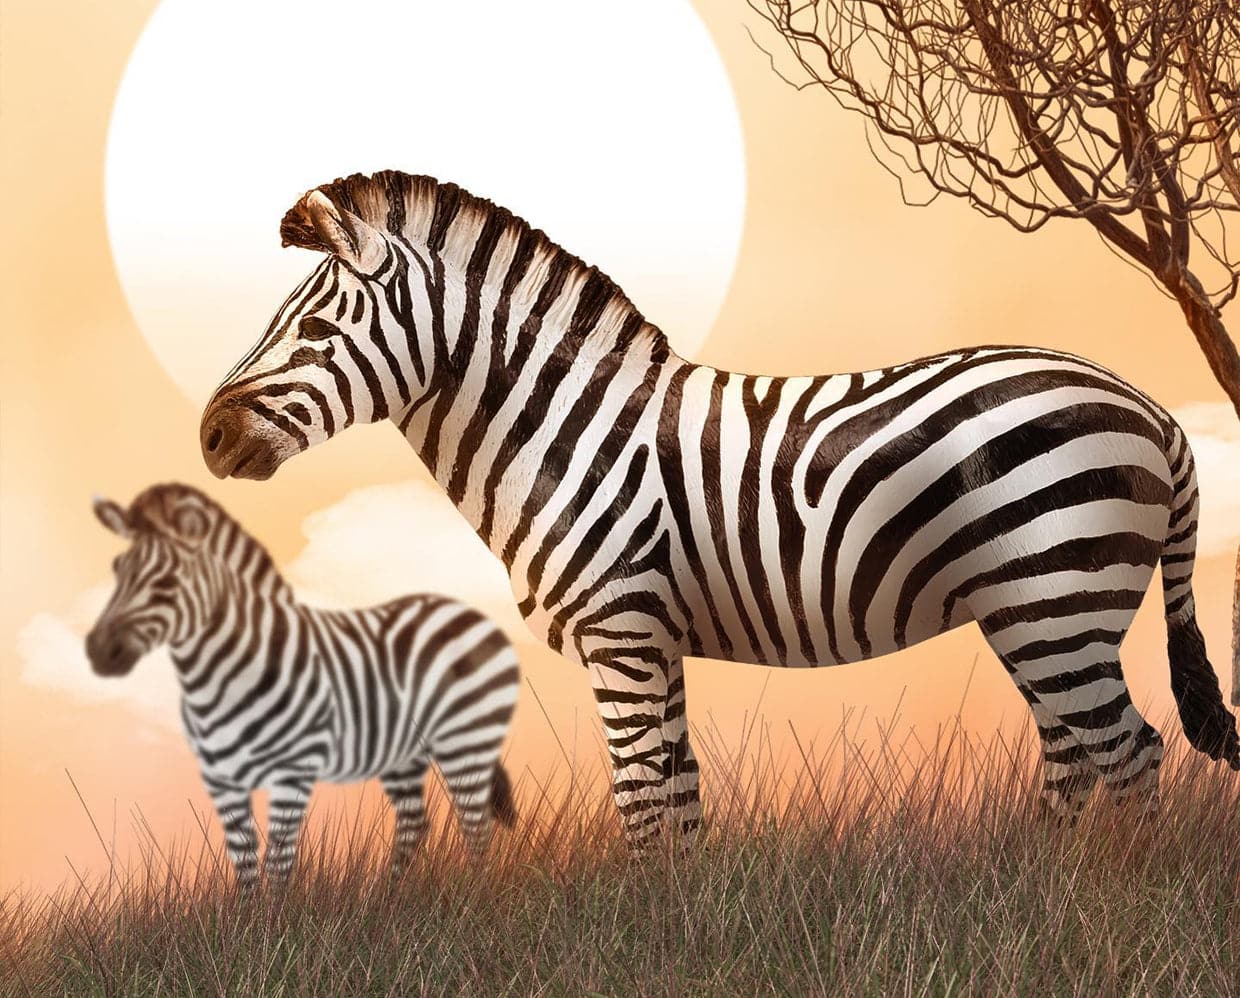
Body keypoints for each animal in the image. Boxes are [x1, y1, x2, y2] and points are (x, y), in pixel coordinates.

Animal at [84, 482, 520, 884]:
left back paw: (469, 898)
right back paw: (388, 900)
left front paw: (275, 922)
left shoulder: (292, 771)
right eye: (117, 568)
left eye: (169, 583)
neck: (217, 678)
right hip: (404, 753)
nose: (97, 651)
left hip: (466, 738)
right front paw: (244, 921)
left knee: (476, 828)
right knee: (416, 823)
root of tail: (470, 612)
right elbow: (245, 864)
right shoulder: (221, 780)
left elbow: (278, 862)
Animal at [199, 170, 1240, 847]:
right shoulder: (655, 639)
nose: (208, 437)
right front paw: (682, 933)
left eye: (315, 327)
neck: (561, 432)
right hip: (1035, 613)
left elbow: (640, 804)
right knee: (1076, 757)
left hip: (1057, 598)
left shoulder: (620, 633)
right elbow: (680, 799)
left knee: (1130, 755)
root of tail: (1150, 407)